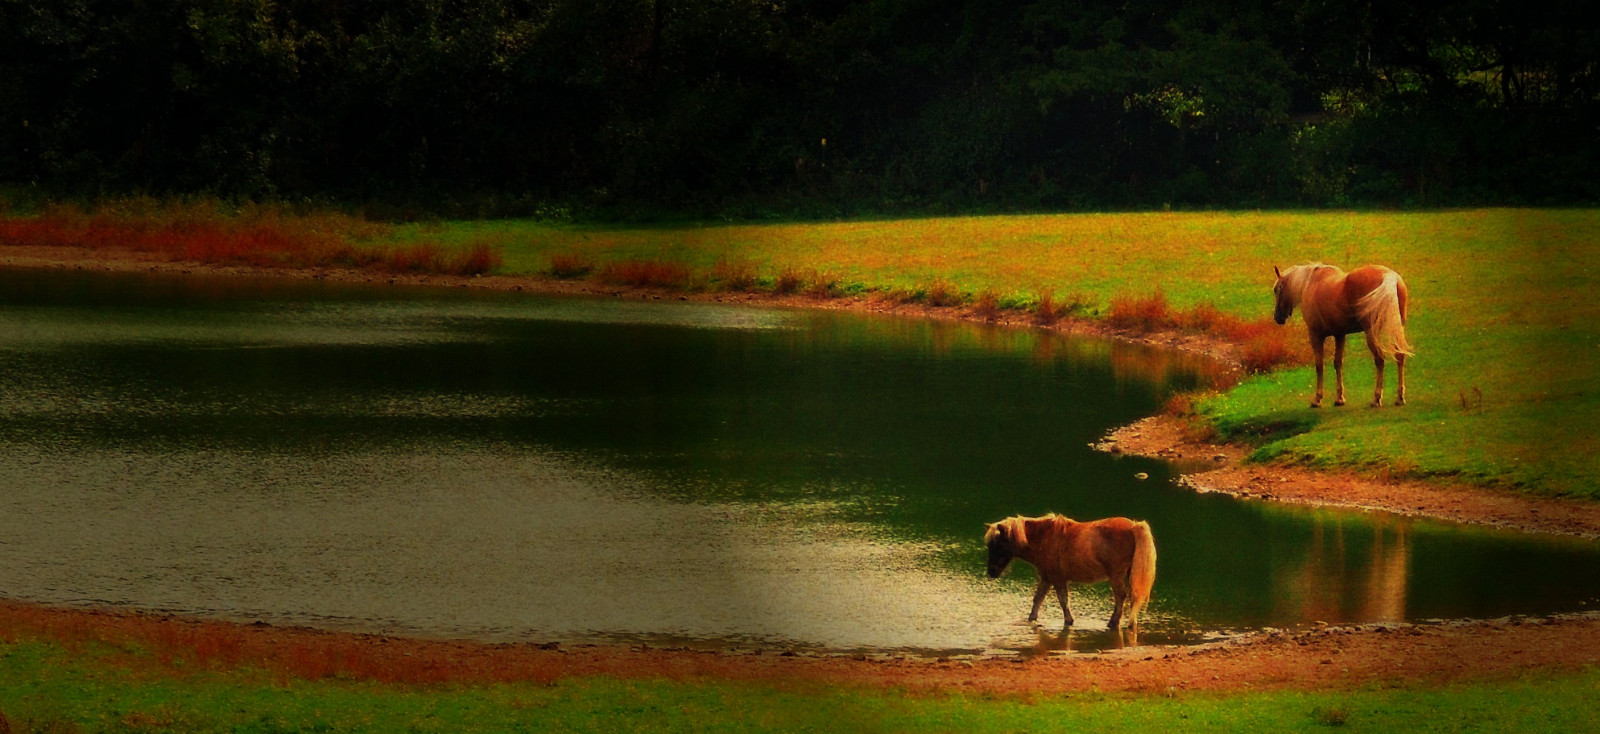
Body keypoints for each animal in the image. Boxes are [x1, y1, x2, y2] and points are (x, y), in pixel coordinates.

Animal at [984, 514, 1156, 632]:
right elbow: (1037, 600)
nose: (991, 572)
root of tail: (1133, 526)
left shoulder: (1057, 579)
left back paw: (1113, 622)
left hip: (1116, 576)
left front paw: (1069, 621)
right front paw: (1031, 620)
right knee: (1133, 597)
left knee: (1121, 596)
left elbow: (1063, 600)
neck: (1043, 538)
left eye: (998, 545)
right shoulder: (1046, 578)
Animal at [1272, 263, 1413, 408]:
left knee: (1380, 360)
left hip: (1371, 333)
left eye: (1276, 290)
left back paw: (1376, 398)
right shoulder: (1339, 335)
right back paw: (1400, 398)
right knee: (1400, 356)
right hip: (1396, 328)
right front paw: (1339, 398)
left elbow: (1319, 365)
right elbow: (1338, 363)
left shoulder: (1315, 336)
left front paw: (1318, 399)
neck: (1310, 283)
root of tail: (1389, 276)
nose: (1277, 317)